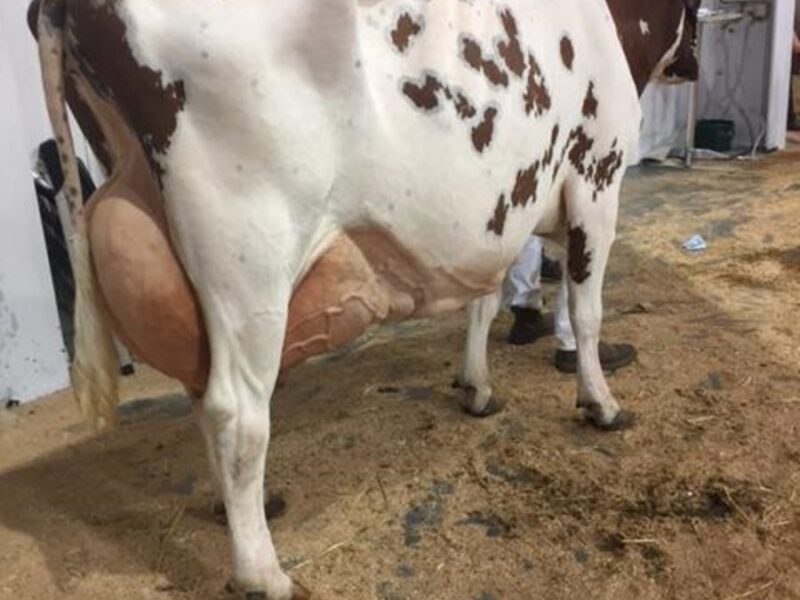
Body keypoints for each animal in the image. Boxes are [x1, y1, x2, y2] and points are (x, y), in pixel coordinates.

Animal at [29, 1, 694, 597]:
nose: (689, 66)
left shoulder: (503, 210)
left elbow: (484, 302)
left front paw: (476, 386)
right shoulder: (596, 177)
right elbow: (585, 309)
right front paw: (600, 401)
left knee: (200, 390)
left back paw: (239, 506)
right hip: (248, 256)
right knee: (235, 411)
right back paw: (264, 574)